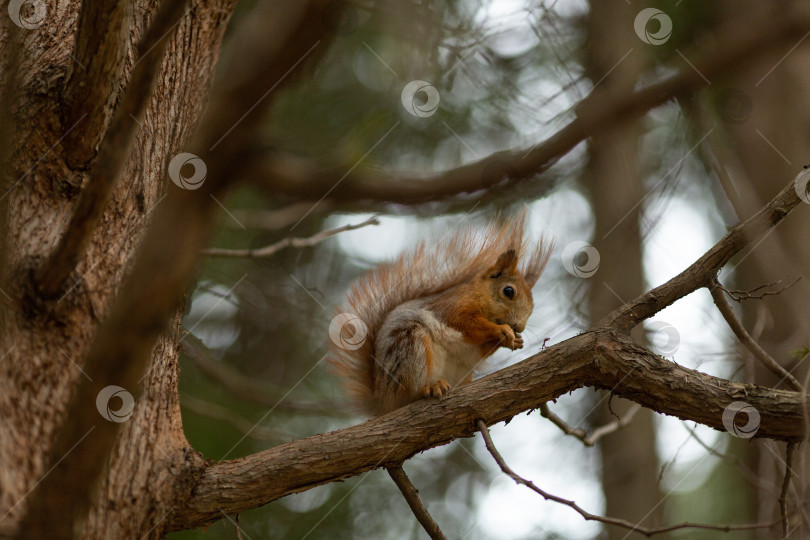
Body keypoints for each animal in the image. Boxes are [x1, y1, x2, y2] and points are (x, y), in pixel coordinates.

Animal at [326, 211, 548, 414]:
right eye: (508, 291)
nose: (519, 326)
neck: (482, 297)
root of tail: (382, 402)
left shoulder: (471, 350)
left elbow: (477, 350)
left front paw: (513, 340)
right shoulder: (452, 306)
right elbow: (462, 322)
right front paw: (500, 330)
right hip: (409, 345)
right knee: (409, 392)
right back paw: (429, 387)